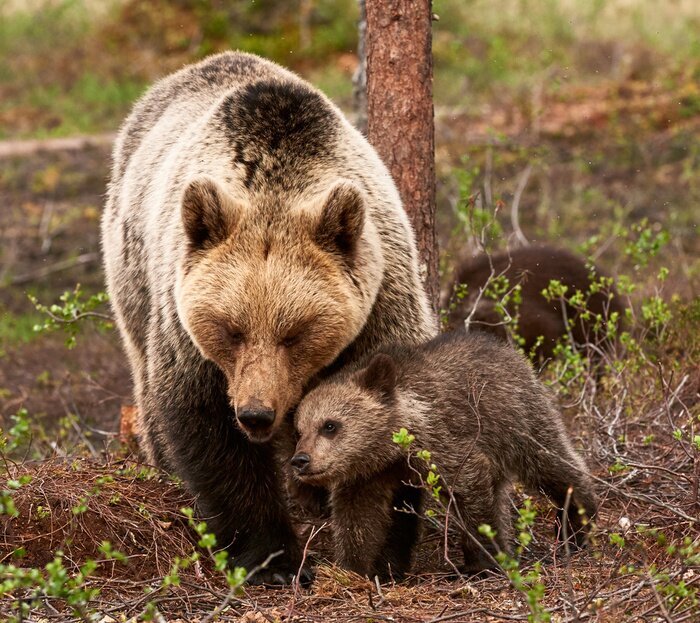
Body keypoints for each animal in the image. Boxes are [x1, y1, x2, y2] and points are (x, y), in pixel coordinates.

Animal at [101, 51, 434, 584]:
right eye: (231, 329)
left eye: (295, 333)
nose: (256, 413)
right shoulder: (187, 330)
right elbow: (208, 427)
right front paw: (275, 558)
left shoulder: (380, 305)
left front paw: (377, 551)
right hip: (132, 270)